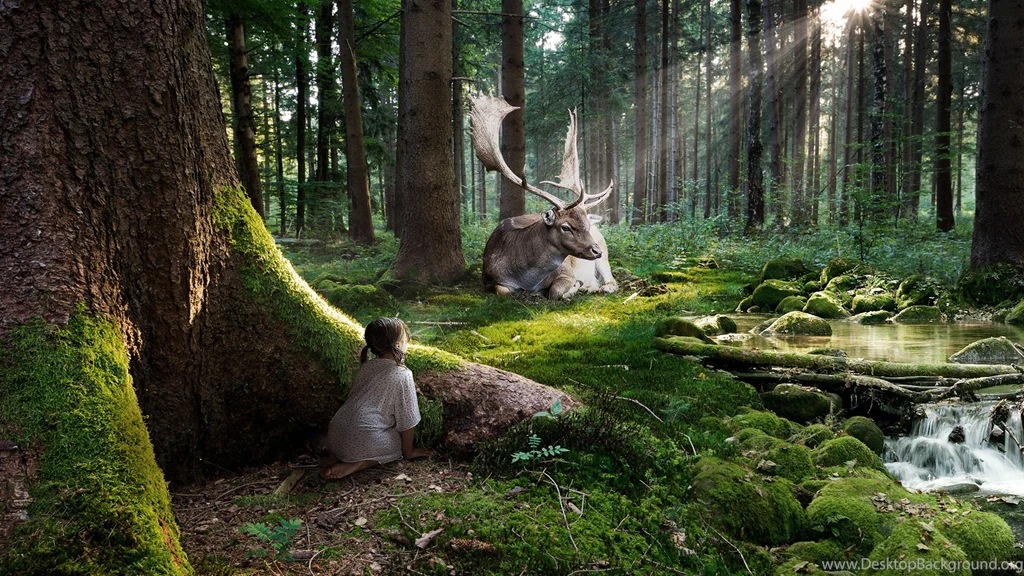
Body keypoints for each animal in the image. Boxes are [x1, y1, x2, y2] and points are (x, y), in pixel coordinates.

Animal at [469, 94, 614, 299]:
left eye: (586, 224)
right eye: (566, 227)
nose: (596, 250)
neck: (526, 279)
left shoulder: (566, 271)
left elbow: (555, 291)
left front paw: (572, 288)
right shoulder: (488, 278)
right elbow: (503, 290)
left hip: (604, 251)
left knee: (611, 279)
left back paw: (601, 287)